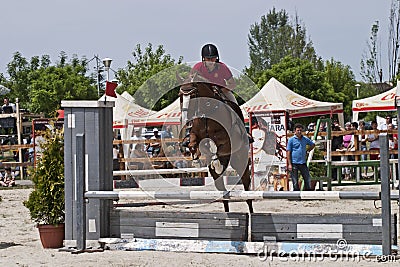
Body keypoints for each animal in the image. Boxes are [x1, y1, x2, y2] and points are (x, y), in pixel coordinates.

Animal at [178, 74, 253, 215]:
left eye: (193, 95)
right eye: (180, 96)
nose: (186, 120)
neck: (207, 111)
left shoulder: (226, 139)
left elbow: (218, 145)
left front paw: (215, 161)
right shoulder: (195, 135)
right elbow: (194, 143)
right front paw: (196, 159)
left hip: (241, 160)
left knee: (246, 186)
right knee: (222, 190)